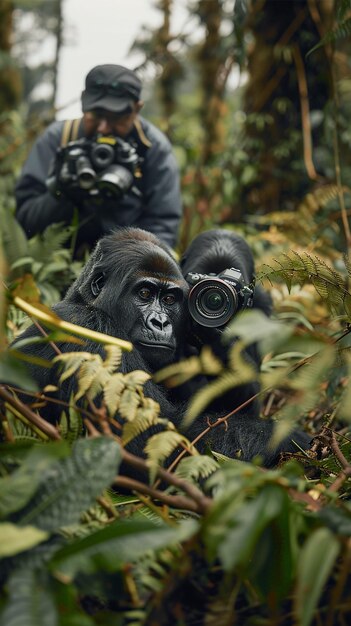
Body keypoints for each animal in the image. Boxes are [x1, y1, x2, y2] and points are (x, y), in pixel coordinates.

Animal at [8, 227, 310, 466]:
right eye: (144, 293)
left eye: (169, 299)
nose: (161, 322)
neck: (85, 302)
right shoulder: (94, 335)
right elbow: (170, 444)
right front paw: (291, 438)